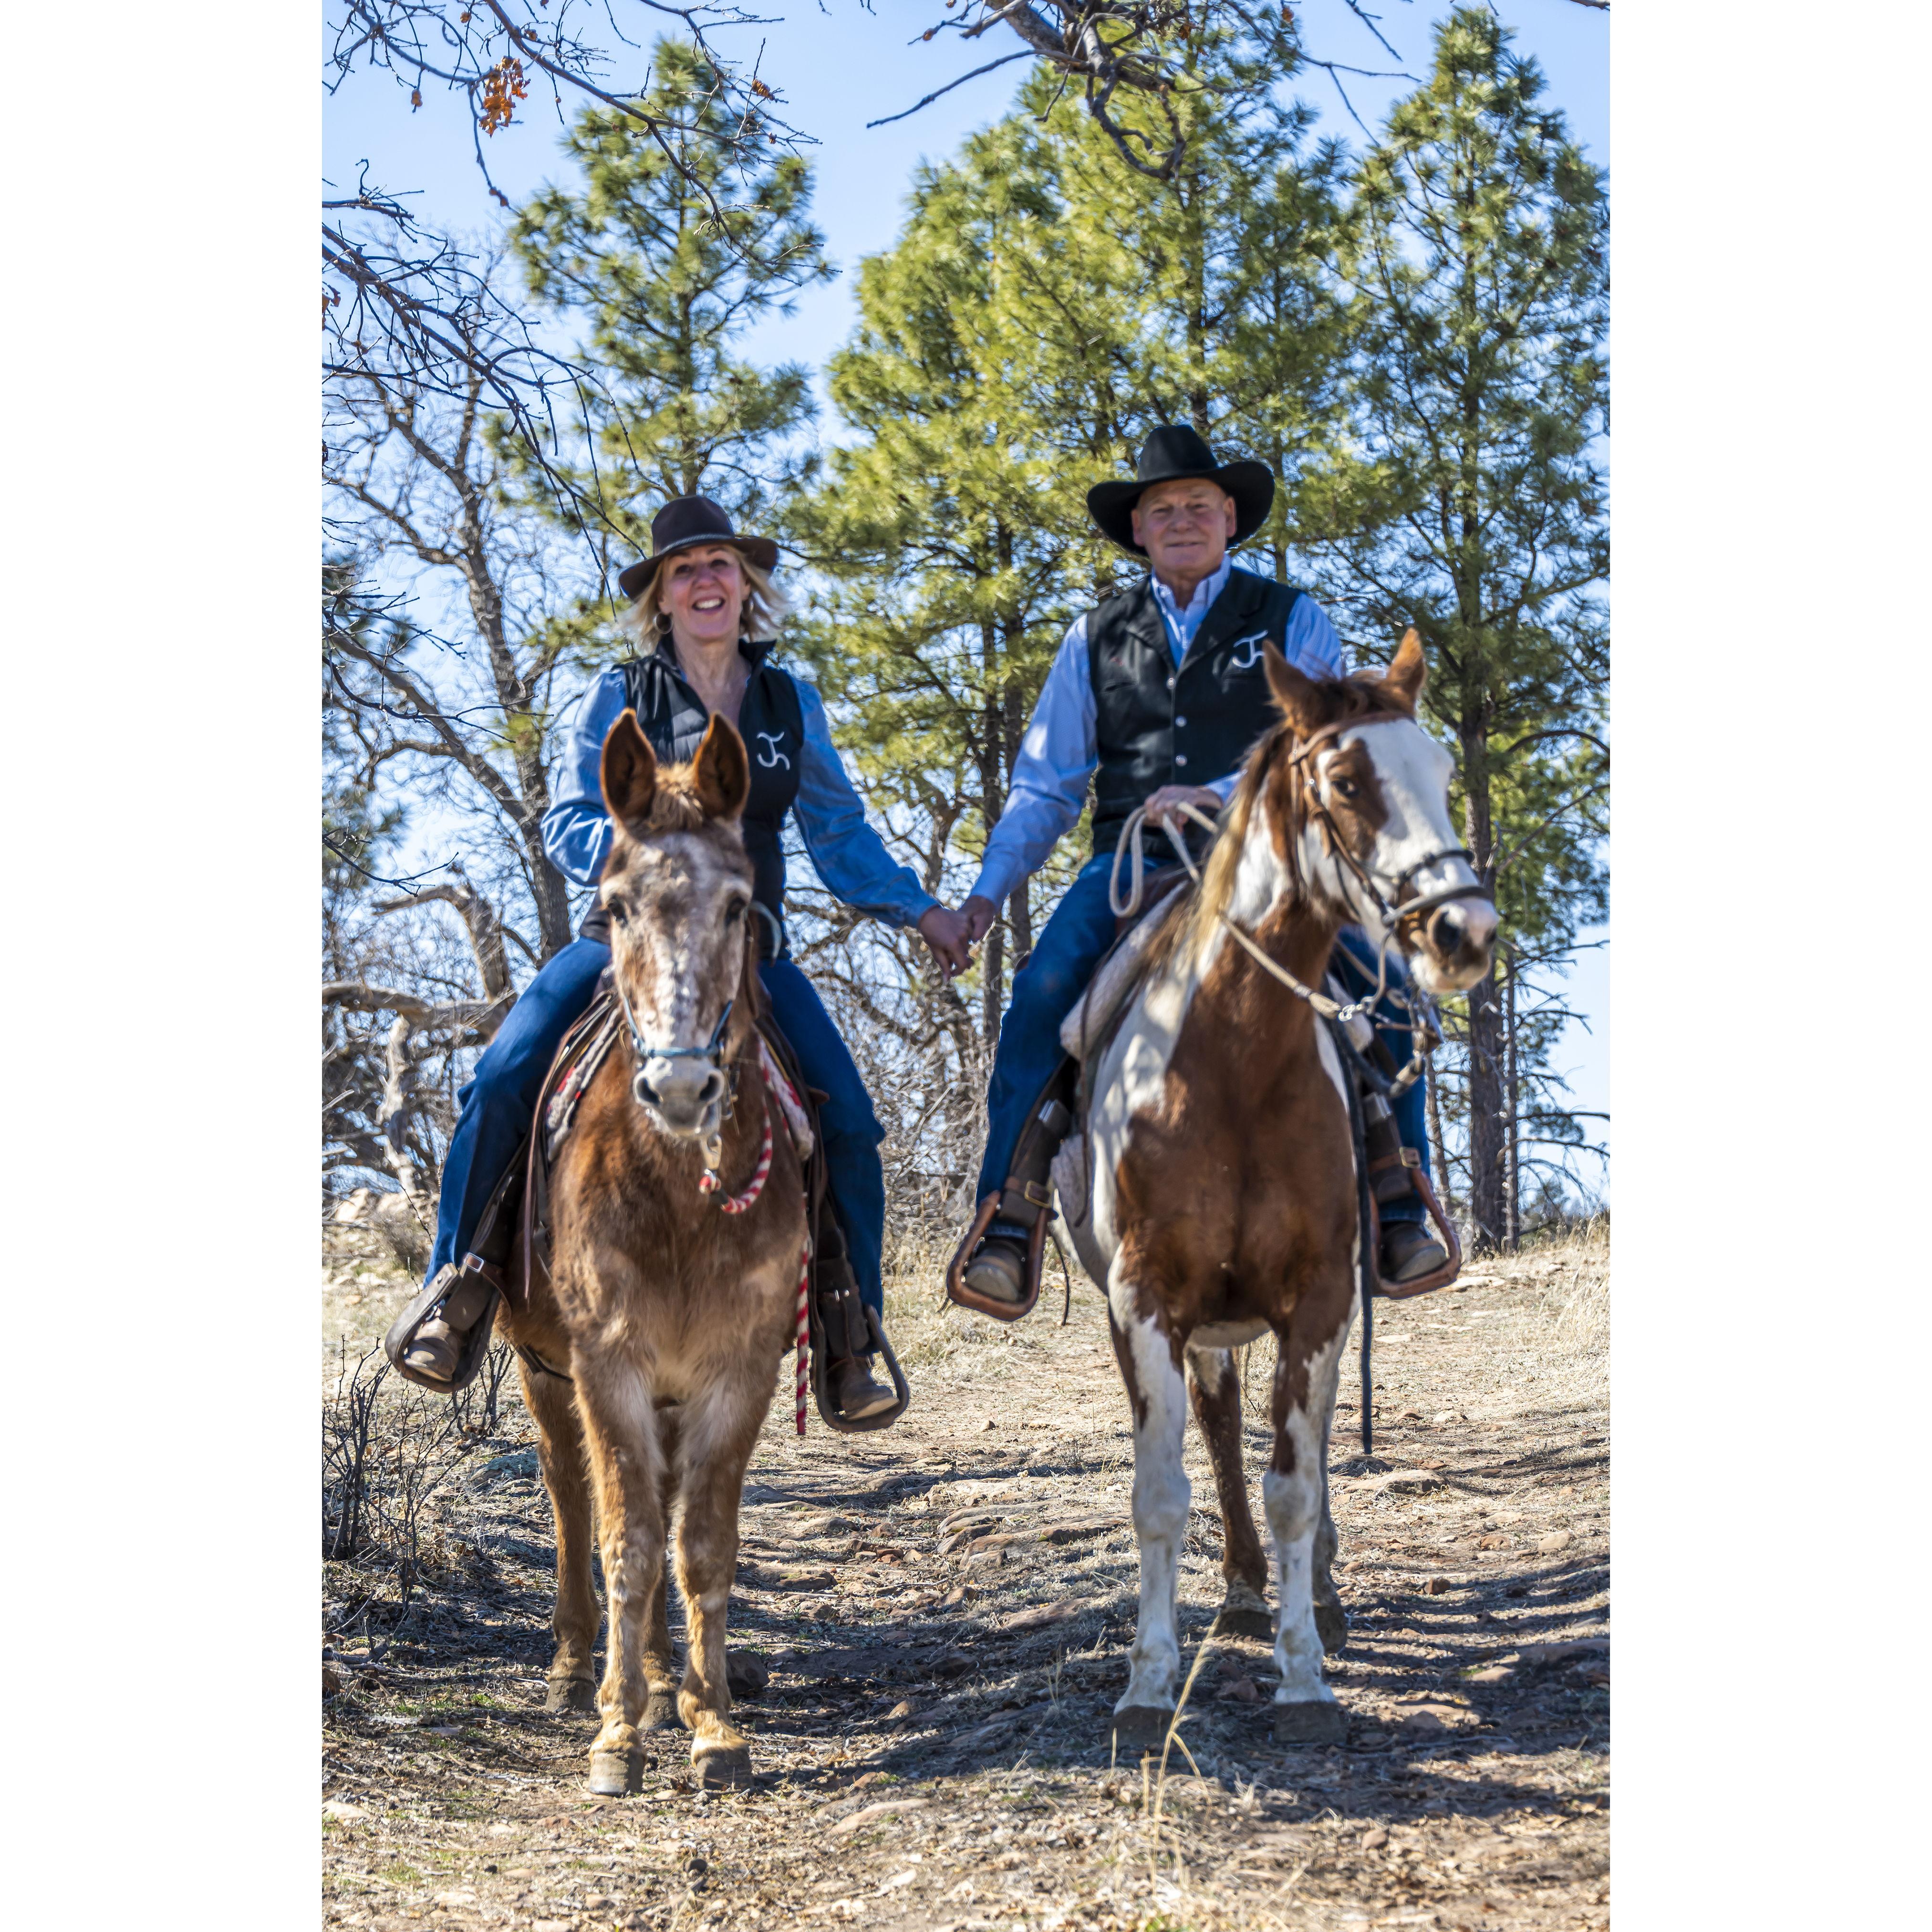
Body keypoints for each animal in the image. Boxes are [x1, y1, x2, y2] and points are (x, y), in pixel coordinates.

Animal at [498, 711, 807, 1793]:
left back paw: (672, 1680)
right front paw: (616, 1732)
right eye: (618, 904)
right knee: (568, 1494)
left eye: (740, 905)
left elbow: (700, 1543)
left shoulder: (737, 1369)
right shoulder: (608, 1364)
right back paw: (573, 1666)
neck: (678, 1195)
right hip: (542, 1368)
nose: (680, 1089)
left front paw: (713, 1725)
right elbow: (626, 1537)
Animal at [1066, 634, 1499, 1754]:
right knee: (1220, 1431)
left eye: (1442, 772)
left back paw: (1316, 1596)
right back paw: (1244, 1591)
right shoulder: (1144, 1302)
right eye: (1347, 782)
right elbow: (1162, 1491)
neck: (1236, 1058)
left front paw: (1305, 1677)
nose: (1465, 932)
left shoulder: (1320, 1300)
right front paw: (1147, 1684)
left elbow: (1299, 1485)